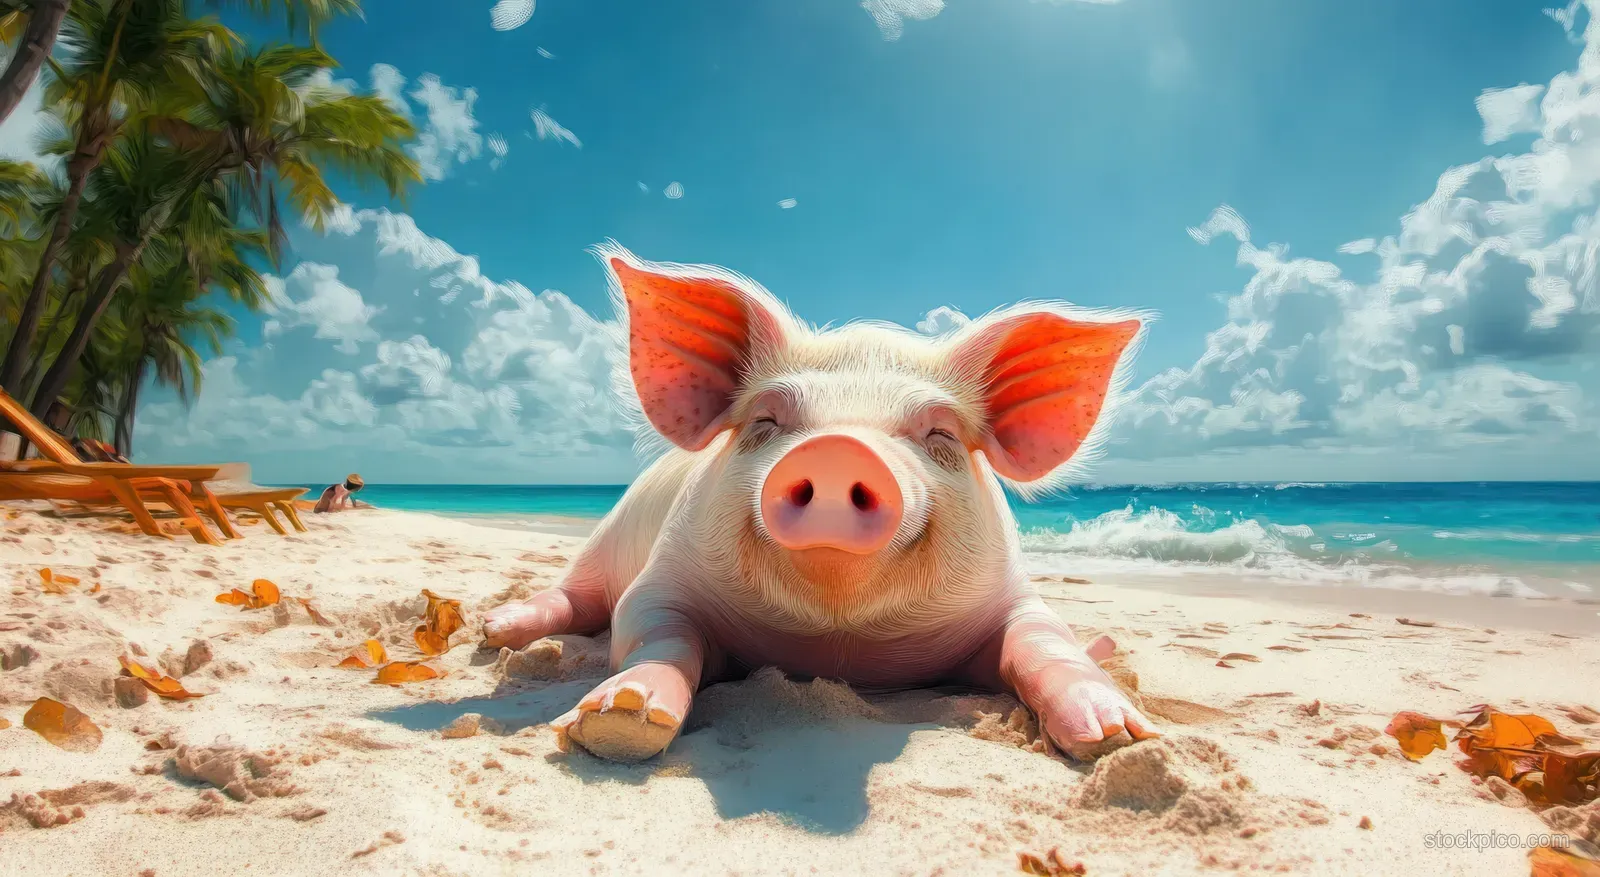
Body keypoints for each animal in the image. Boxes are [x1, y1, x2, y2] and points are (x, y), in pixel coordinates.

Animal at [481, 243, 1160, 763]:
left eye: (940, 434)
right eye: (766, 420)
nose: (838, 449)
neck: (837, 641)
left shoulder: (1013, 594)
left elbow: (1045, 641)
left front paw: (1119, 735)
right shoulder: (662, 577)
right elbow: (655, 636)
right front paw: (621, 717)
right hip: (605, 537)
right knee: (574, 596)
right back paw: (496, 629)